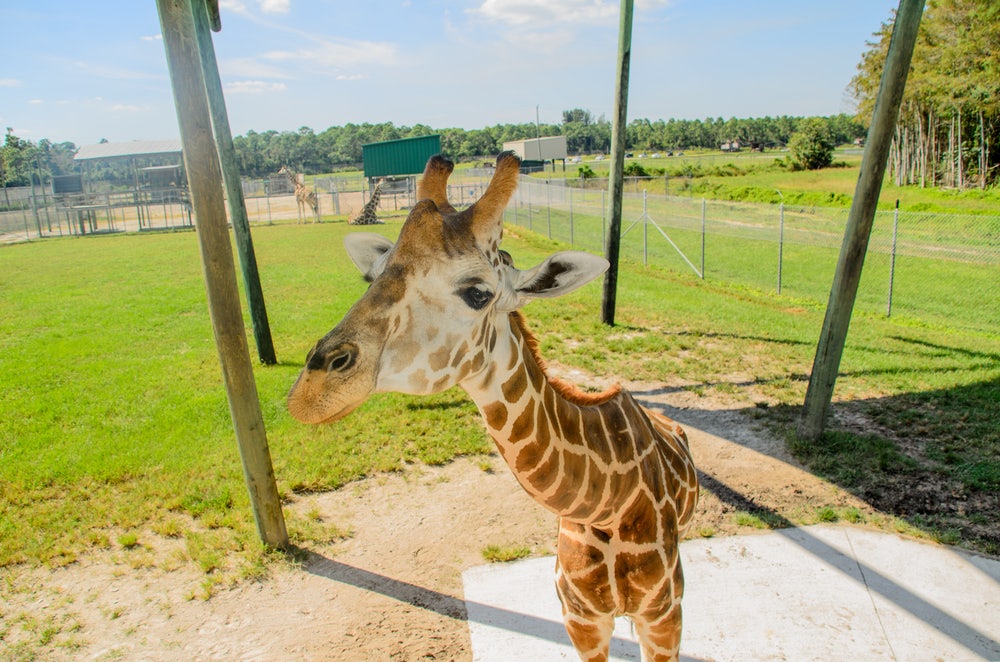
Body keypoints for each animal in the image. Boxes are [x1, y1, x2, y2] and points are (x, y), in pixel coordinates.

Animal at [287, 152, 699, 662]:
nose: (310, 392)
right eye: (372, 276)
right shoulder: (580, 620)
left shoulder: (664, 618)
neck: (607, 509)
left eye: (478, 293)